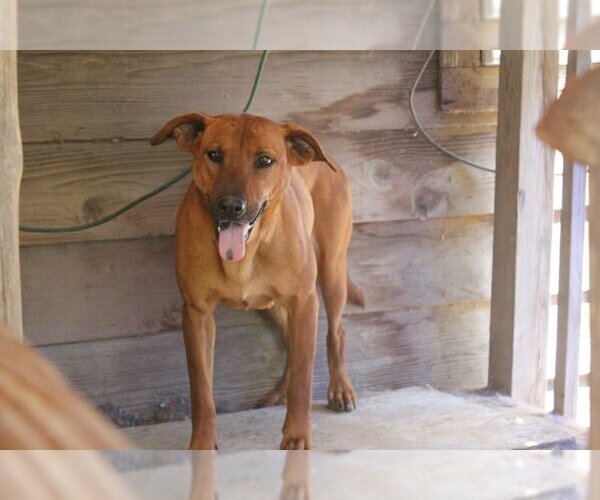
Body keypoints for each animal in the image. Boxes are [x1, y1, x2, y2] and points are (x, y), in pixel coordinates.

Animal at [152, 112, 364, 450]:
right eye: (214, 154)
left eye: (265, 160)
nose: (230, 205)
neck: (246, 251)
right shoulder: (197, 313)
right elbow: (201, 389)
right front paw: (202, 442)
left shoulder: (305, 300)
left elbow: (304, 379)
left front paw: (298, 436)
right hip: (273, 305)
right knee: (290, 341)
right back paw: (279, 392)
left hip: (331, 273)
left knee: (336, 333)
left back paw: (340, 389)